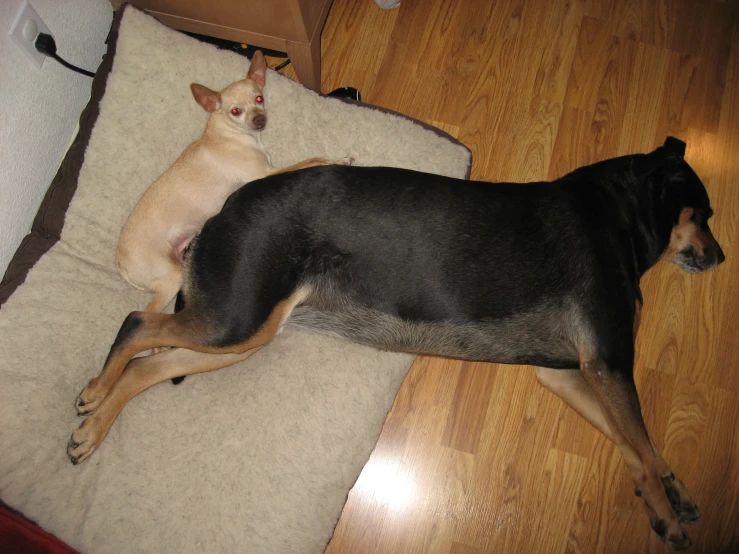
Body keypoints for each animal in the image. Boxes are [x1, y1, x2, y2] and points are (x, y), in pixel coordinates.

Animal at [73, 137, 724, 548]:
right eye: (705, 213)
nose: (720, 258)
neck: (620, 212)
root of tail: (235, 197)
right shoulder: (609, 362)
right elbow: (640, 446)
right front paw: (666, 517)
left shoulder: (569, 371)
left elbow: (639, 445)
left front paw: (675, 493)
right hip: (234, 319)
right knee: (136, 324)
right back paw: (93, 398)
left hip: (245, 329)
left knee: (150, 365)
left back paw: (92, 430)